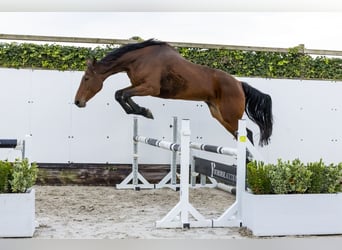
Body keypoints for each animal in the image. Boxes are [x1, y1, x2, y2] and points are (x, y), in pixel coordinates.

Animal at [75, 38, 272, 146]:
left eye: (86, 79)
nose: (77, 102)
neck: (138, 59)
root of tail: (239, 83)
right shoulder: (139, 86)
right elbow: (120, 94)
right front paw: (142, 111)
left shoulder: (150, 88)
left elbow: (122, 94)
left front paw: (144, 111)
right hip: (220, 116)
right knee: (244, 135)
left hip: (231, 116)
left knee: (247, 135)